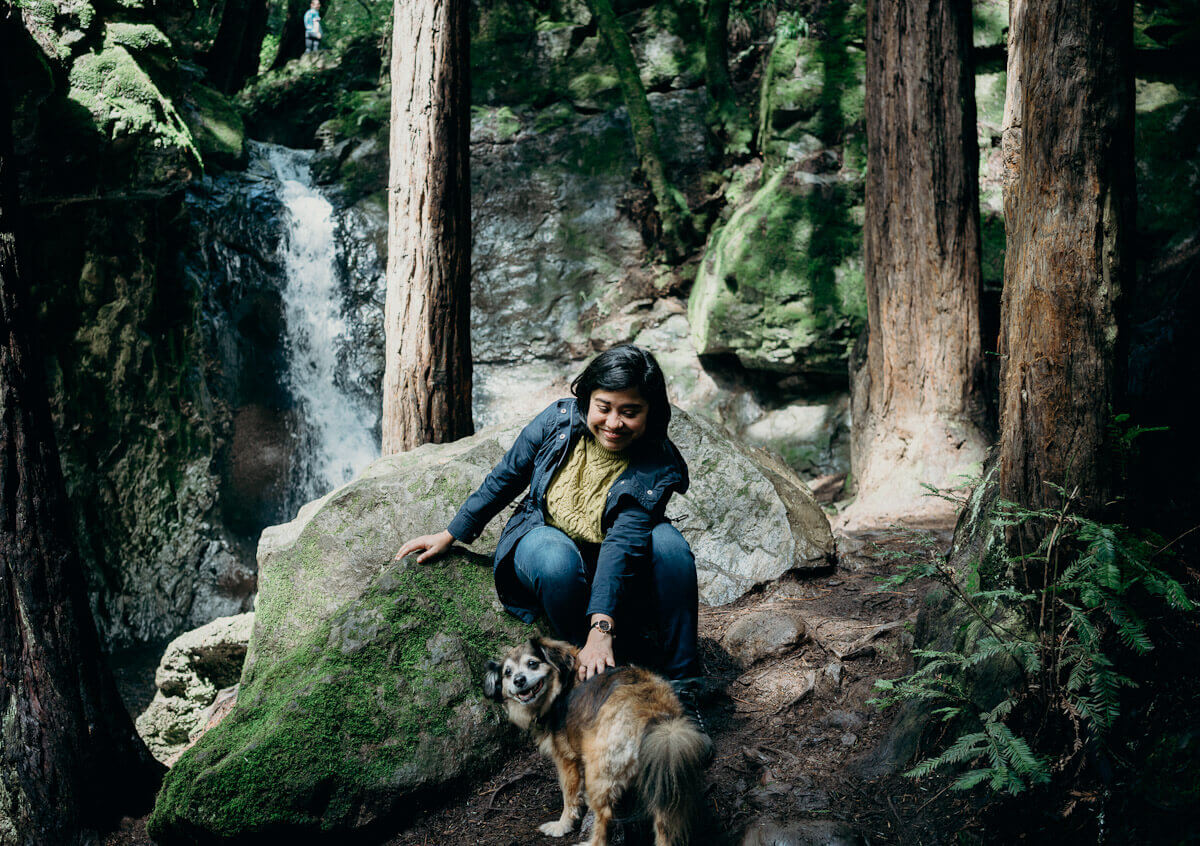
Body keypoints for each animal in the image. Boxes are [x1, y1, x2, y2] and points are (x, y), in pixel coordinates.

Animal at [484, 638, 710, 840]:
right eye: (507, 672)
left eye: (532, 663)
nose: (518, 680)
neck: (560, 684)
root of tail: (654, 713)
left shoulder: (566, 760)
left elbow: (569, 797)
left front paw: (562, 825)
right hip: (661, 778)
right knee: (664, 825)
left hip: (600, 770)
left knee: (604, 819)